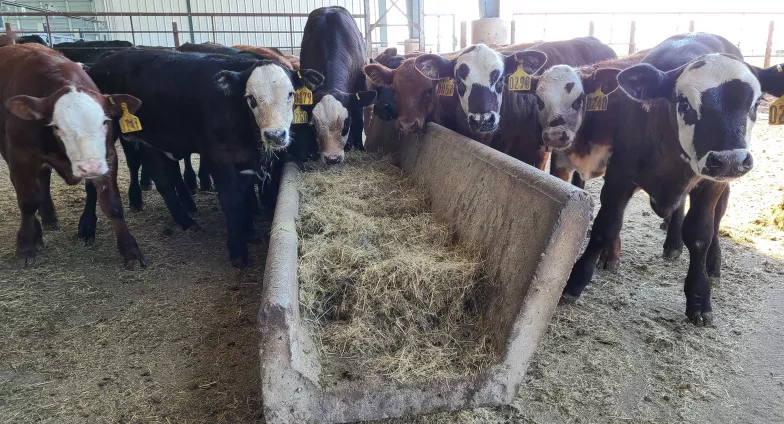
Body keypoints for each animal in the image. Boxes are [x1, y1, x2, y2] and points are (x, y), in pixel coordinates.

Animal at [0, 43, 145, 268]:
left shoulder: (108, 156)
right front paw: (25, 247)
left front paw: (130, 250)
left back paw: (49, 217)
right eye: (57, 127)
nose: (91, 167)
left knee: (43, 179)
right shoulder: (20, 155)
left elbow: (111, 203)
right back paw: (38, 232)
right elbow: (27, 201)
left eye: (105, 121)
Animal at [89, 49, 324, 266]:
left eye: (291, 94)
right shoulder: (218, 158)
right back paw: (92, 227)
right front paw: (237, 250)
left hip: (153, 143)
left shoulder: (245, 159)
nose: (275, 135)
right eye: (251, 98)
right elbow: (232, 200)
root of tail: (105, 59)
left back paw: (185, 215)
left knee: (163, 178)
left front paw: (249, 231)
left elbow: (245, 195)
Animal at [298, 7, 376, 162]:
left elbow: (359, 119)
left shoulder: (359, 86)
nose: (332, 158)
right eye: (314, 127)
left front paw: (360, 146)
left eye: (346, 124)